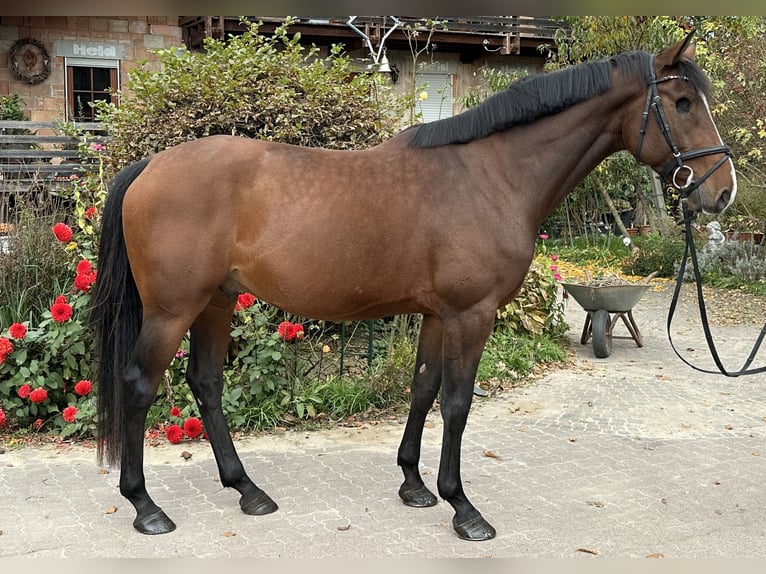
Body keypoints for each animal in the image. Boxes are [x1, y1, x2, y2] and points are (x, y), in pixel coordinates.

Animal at [90, 33, 736, 544]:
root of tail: (148, 168)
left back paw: (247, 489)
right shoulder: (472, 314)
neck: (492, 174)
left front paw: (413, 484)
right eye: (681, 103)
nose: (722, 191)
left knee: (206, 383)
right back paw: (146, 507)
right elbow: (457, 402)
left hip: (217, 302)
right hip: (172, 310)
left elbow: (424, 389)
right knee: (140, 385)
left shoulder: (437, 314)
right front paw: (463, 507)